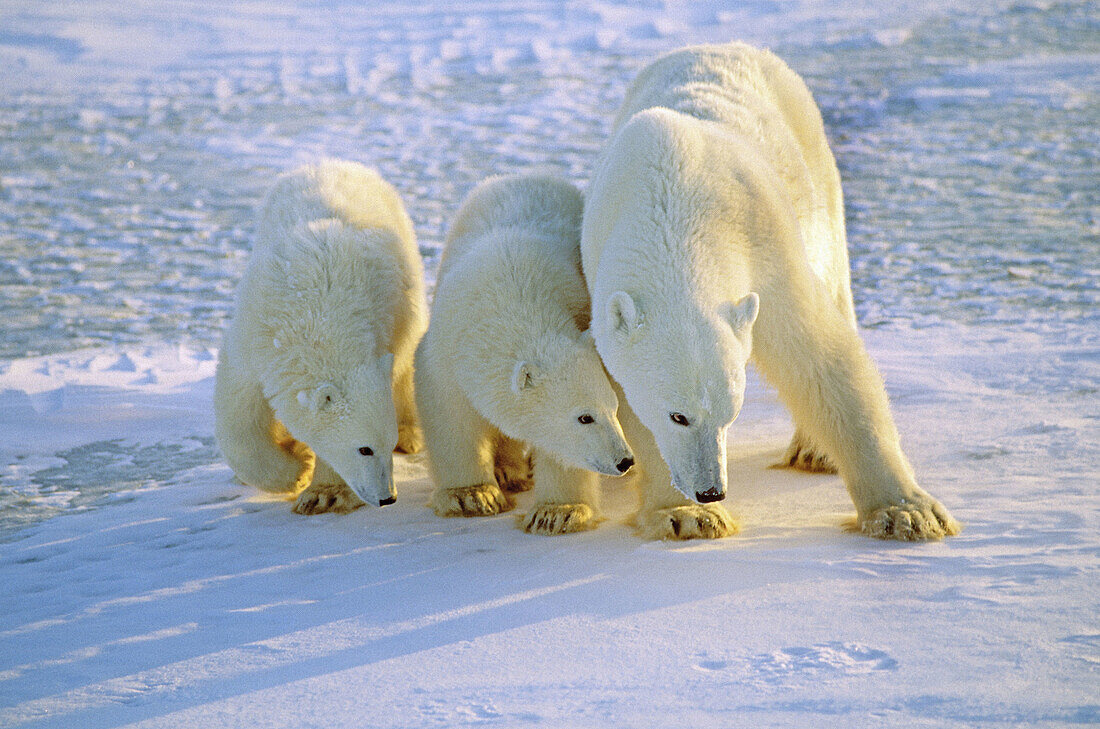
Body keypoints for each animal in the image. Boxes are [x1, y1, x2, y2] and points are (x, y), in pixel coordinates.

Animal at [212, 159, 426, 512]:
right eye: (364, 449)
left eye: (387, 443)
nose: (388, 498)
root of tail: (337, 163)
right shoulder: (254, 338)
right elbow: (239, 411)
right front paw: (295, 469)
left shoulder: (382, 319)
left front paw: (322, 491)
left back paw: (412, 433)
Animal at [413, 173, 638, 534]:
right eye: (584, 417)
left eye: (614, 407)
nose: (624, 460)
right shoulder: (446, 349)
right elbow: (448, 411)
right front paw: (472, 496)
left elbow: (559, 450)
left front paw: (557, 512)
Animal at [585, 41, 963, 540]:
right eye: (678, 415)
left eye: (731, 413)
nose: (711, 490)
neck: (673, 197)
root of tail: (722, 46)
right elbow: (631, 404)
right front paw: (685, 514)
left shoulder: (764, 241)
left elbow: (820, 354)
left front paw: (907, 511)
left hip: (816, 175)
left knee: (835, 285)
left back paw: (815, 452)